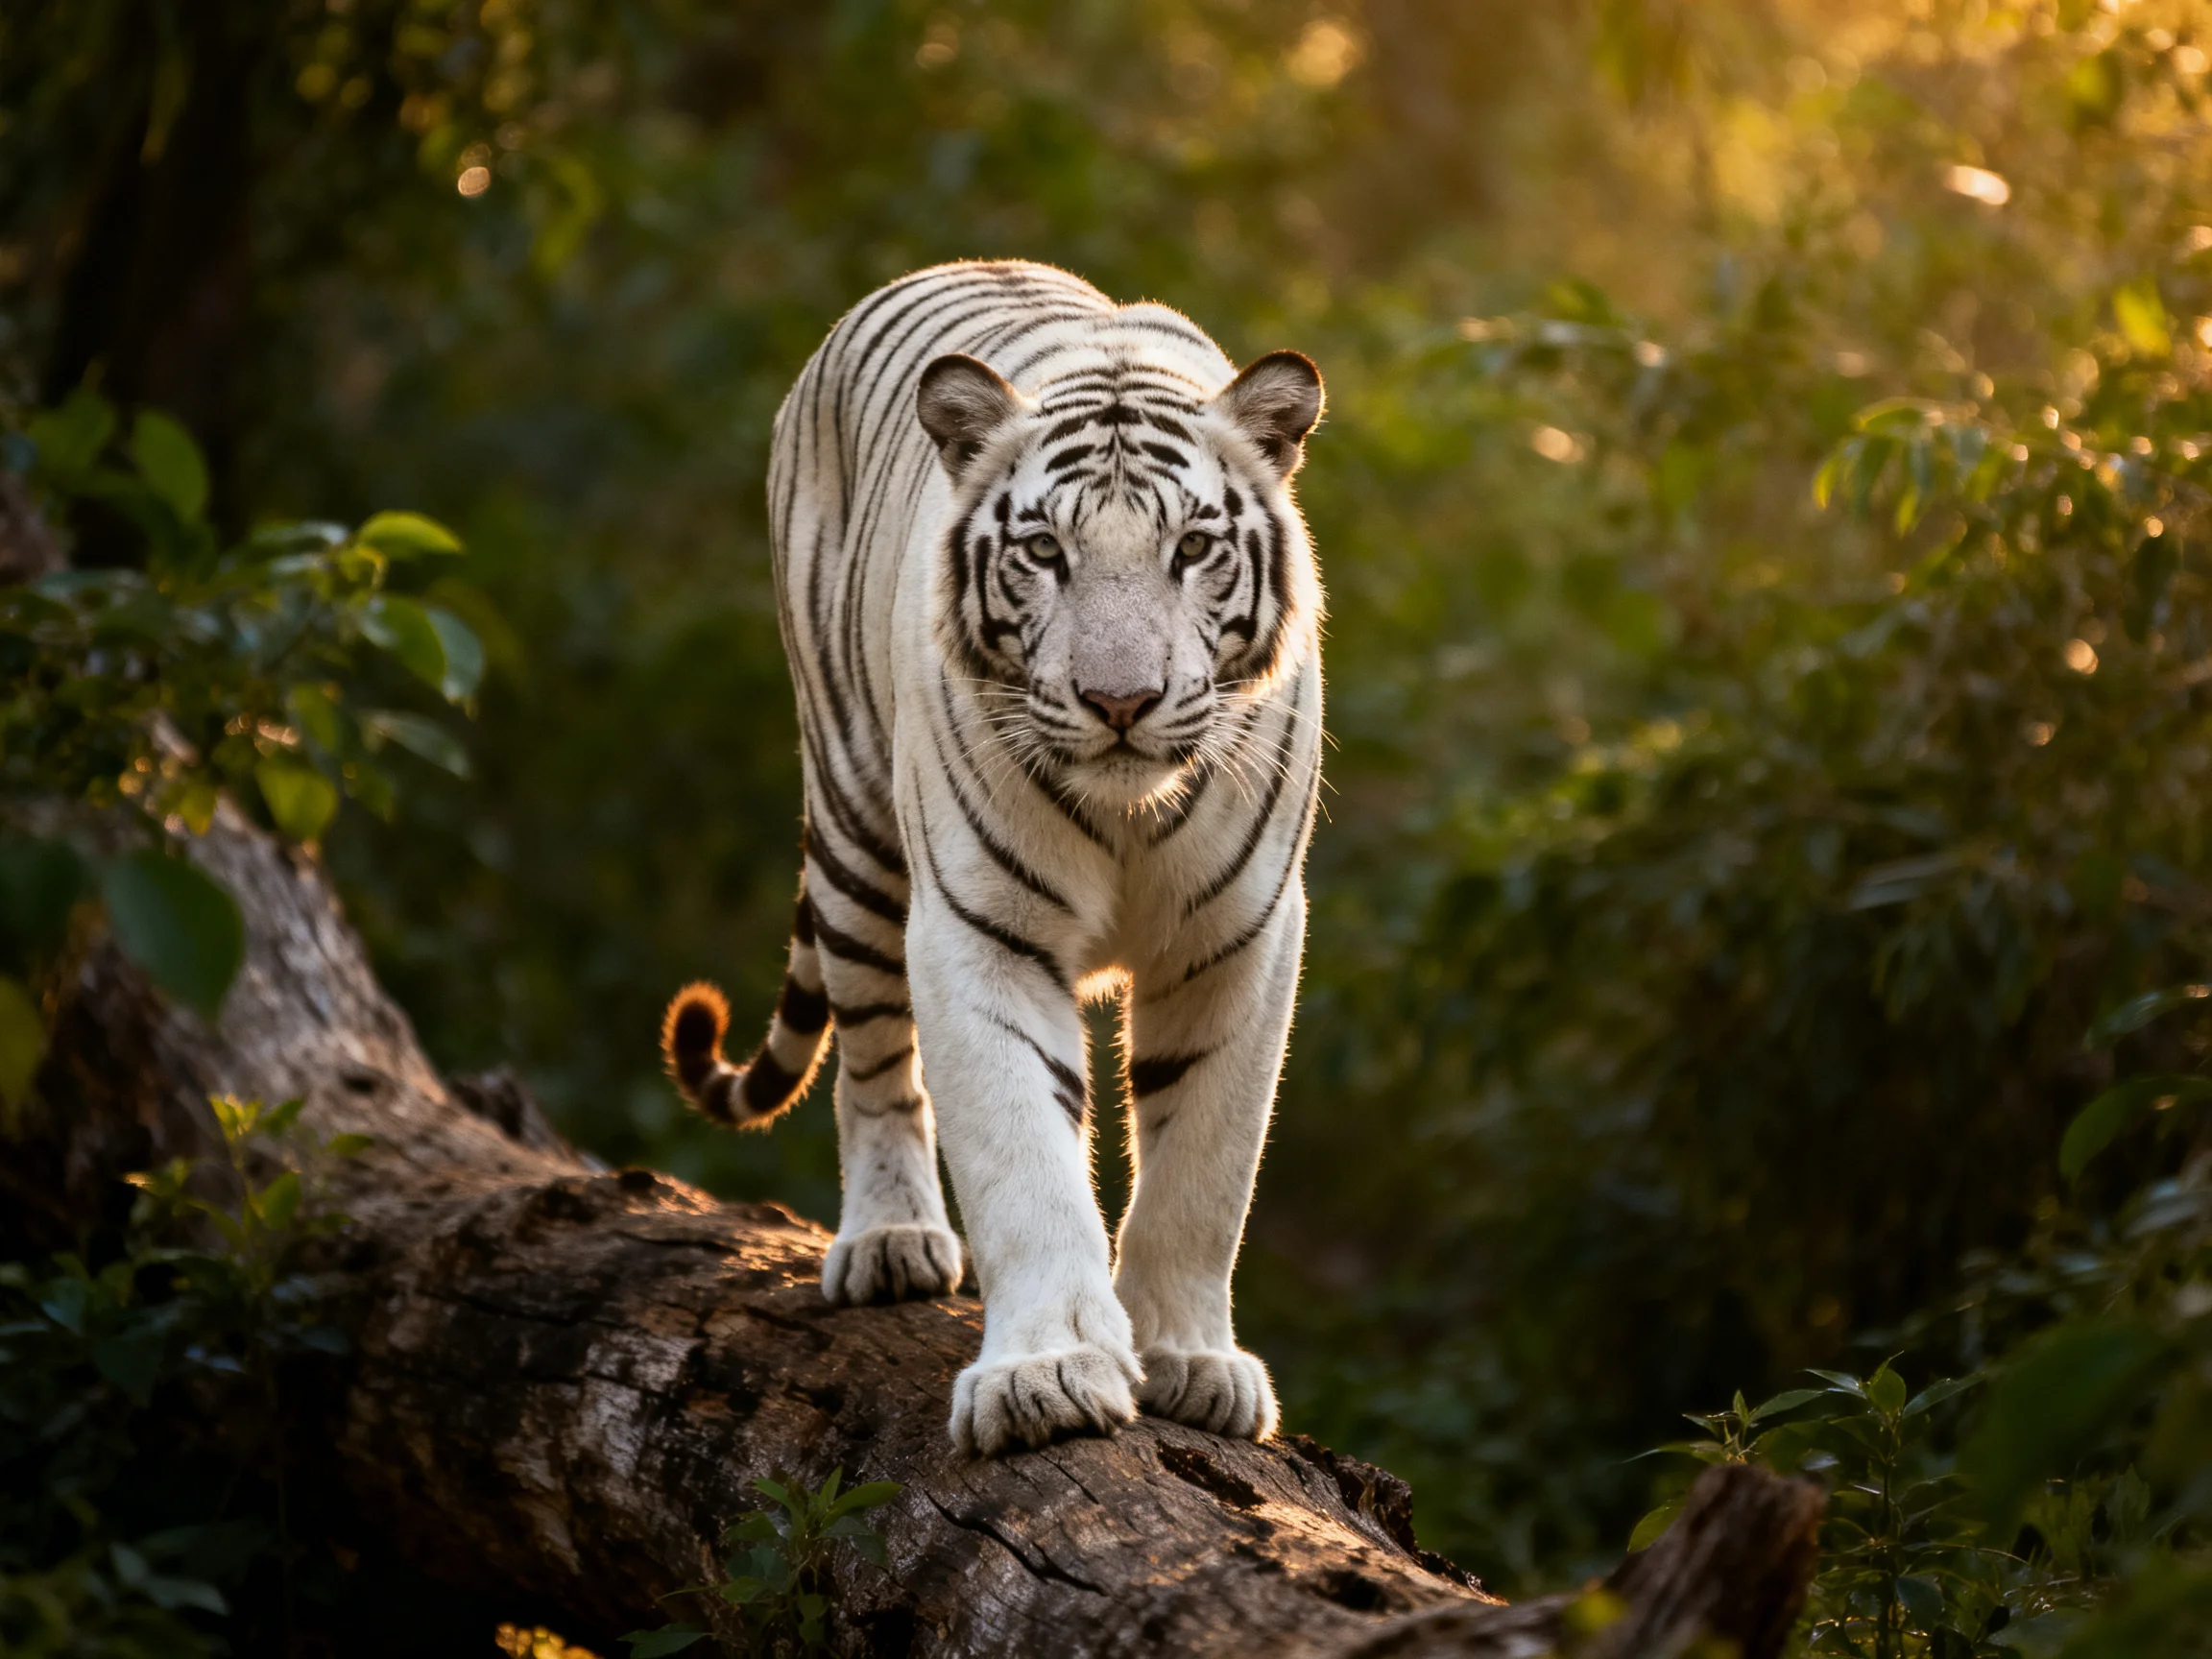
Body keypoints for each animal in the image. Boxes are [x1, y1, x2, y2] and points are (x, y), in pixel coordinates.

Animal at [660, 259, 1324, 1456]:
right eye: (1046, 552)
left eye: (1194, 550)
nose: (1120, 701)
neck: (1128, 815)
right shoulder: (982, 928)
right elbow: (1025, 1158)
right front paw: (1047, 1375)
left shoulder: (1239, 939)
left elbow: (1205, 1167)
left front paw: (1189, 1360)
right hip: (854, 819)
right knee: (873, 1056)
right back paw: (890, 1243)